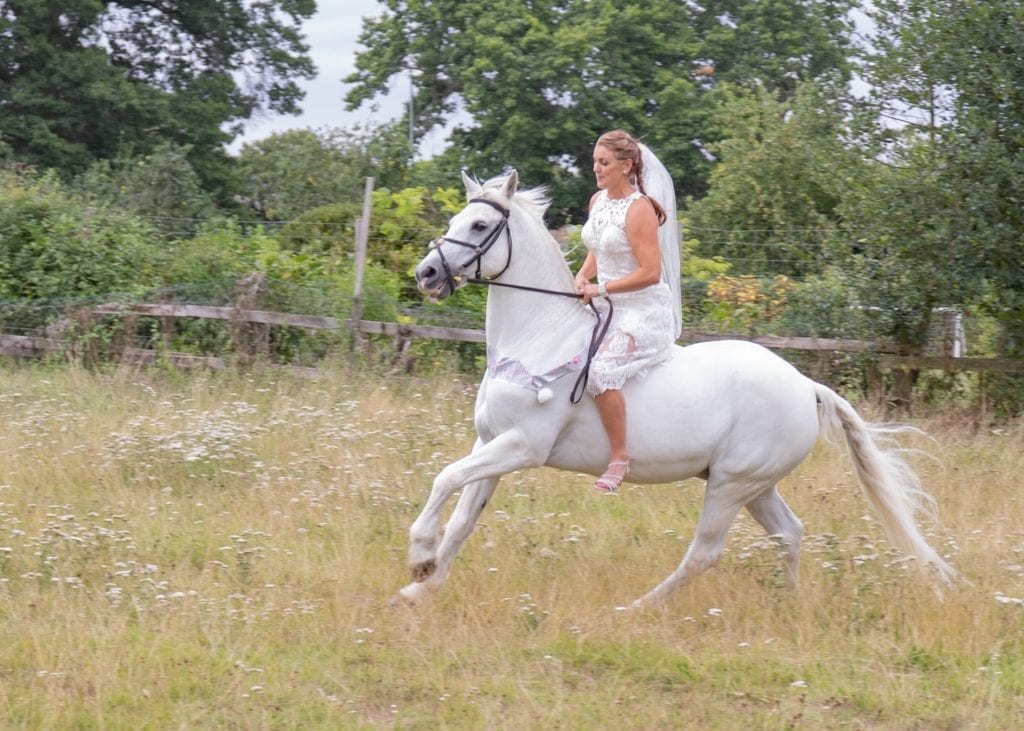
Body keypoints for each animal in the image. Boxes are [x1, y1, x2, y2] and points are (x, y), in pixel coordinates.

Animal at [401, 170, 955, 608]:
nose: (425, 274)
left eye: (479, 226)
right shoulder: (492, 442)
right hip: (756, 485)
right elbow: (463, 517)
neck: (539, 335)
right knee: (789, 534)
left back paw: (636, 608)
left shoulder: (522, 446)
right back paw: (789, 605)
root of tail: (806, 386)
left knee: (705, 552)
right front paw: (419, 588)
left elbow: (444, 479)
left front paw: (419, 556)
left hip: (730, 484)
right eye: (455, 219)